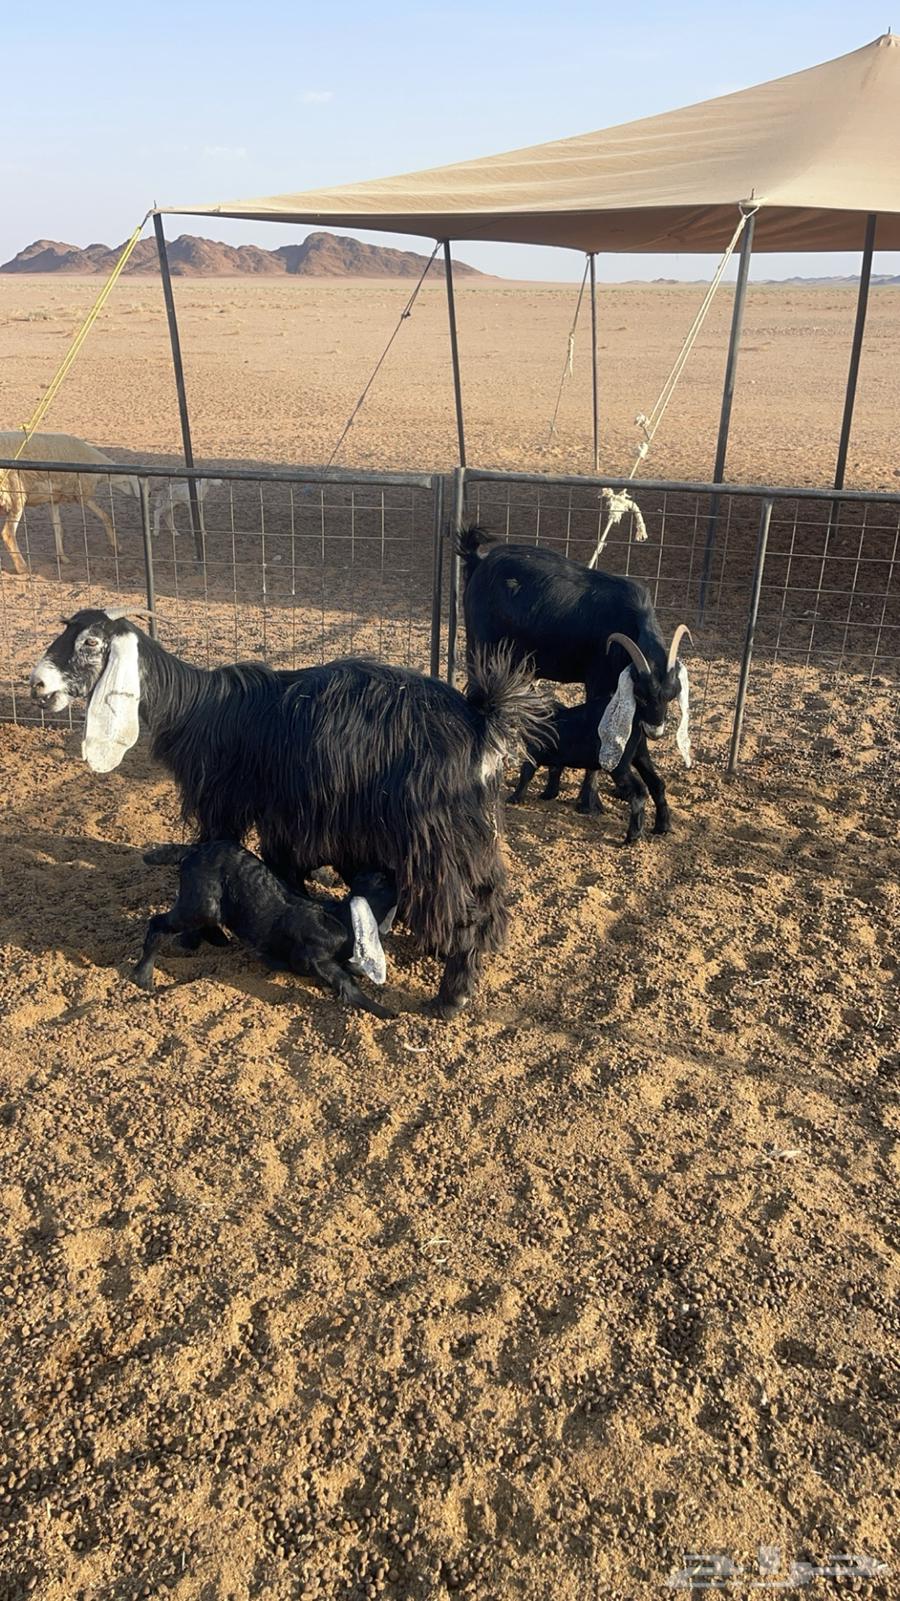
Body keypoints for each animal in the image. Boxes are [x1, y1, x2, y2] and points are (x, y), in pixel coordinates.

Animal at [0, 431, 140, 575]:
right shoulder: (83, 494)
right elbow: (105, 516)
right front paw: (116, 545)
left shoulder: (54, 499)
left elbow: (58, 527)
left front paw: (62, 557)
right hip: (16, 494)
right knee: (8, 533)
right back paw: (23, 567)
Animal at [136, 841, 398, 1018]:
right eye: (384, 880)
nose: (393, 870)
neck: (341, 917)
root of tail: (192, 850)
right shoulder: (315, 956)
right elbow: (345, 981)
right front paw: (384, 1010)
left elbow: (352, 969)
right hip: (199, 905)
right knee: (157, 925)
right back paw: (143, 977)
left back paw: (216, 940)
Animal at [459, 524, 692, 829]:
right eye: (641, 695)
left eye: (671, 695)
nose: (655, 732)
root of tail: (478, 561)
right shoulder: (598, 681)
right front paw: (588, 802)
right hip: (482, 647)